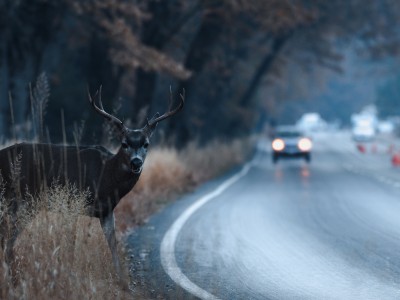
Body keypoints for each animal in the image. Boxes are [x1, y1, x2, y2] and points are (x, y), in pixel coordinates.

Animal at [0, 88, 184, 280]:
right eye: (124, 143)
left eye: (146, 144)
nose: (136, 162)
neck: (106, 178)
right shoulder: (73, 201)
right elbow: (71, 243)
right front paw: (69, 272)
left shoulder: (107, 211)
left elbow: (112, 243)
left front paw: (119, 277)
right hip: (17, 198)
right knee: (6, 236)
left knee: (7, 237)